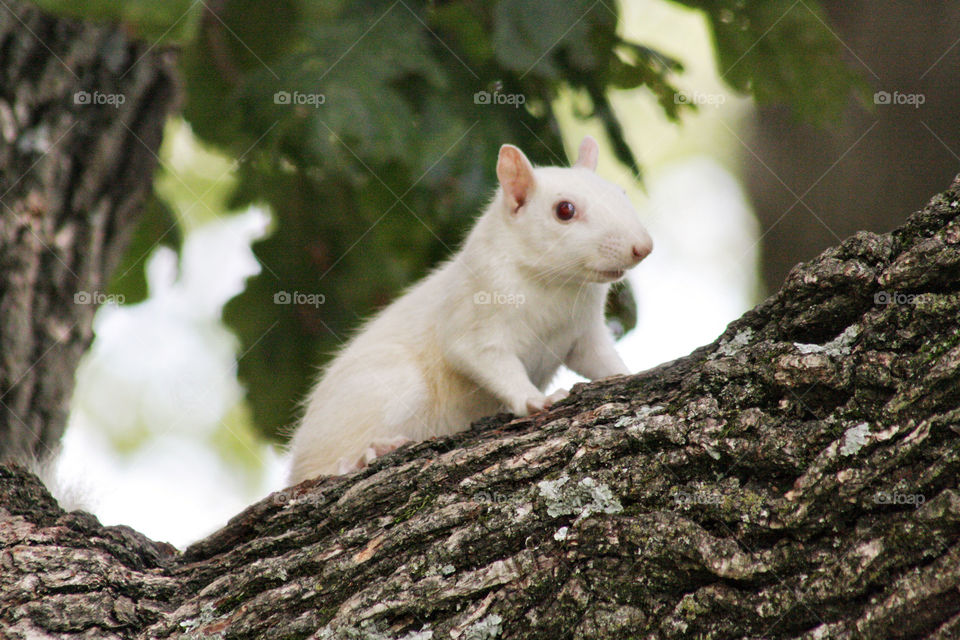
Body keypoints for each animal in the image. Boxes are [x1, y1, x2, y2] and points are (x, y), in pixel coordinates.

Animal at [288, 136, 652, 484]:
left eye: (621, 192)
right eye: (565, 210)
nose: (643, 247)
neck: (556, 285)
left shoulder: (584, 332)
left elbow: (600, 360)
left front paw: (626, 374)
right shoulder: (475, 316)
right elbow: (485, 359)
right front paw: (535, 400)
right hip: (386, 386)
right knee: (322, 468)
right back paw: (364, 455)